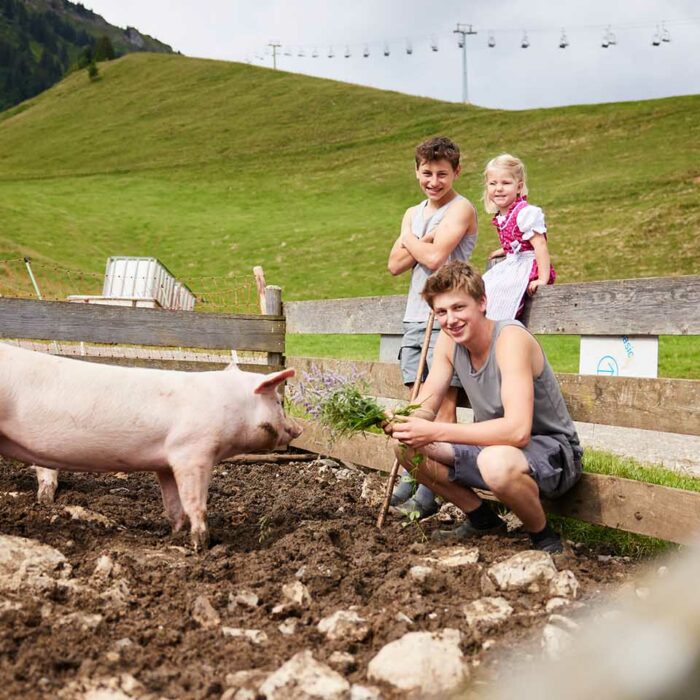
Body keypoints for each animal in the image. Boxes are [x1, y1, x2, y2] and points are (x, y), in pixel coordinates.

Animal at [0, 342, 300, 548]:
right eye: (278, 402)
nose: (298, 428)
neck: (229, 406)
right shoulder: (193, 451)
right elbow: (195, 503)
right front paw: (201, 545)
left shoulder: (166, 463)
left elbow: (173, 504)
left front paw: (175, 536)